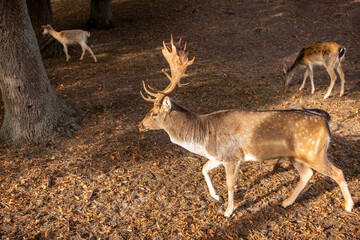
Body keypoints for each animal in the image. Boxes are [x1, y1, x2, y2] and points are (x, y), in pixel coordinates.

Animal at [139, 36, 352, 218]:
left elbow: (230, 184)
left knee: (338, 172)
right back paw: (286, 202)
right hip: (297, 156)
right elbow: (204, 169)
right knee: (307, 175)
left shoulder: (232, 157)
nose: (141, 124)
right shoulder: (218, 156)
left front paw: (228, 211)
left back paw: (348, 206)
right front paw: (216, 197)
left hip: (314, 153)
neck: (203, 137)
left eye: (154, 113)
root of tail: (326, 122)